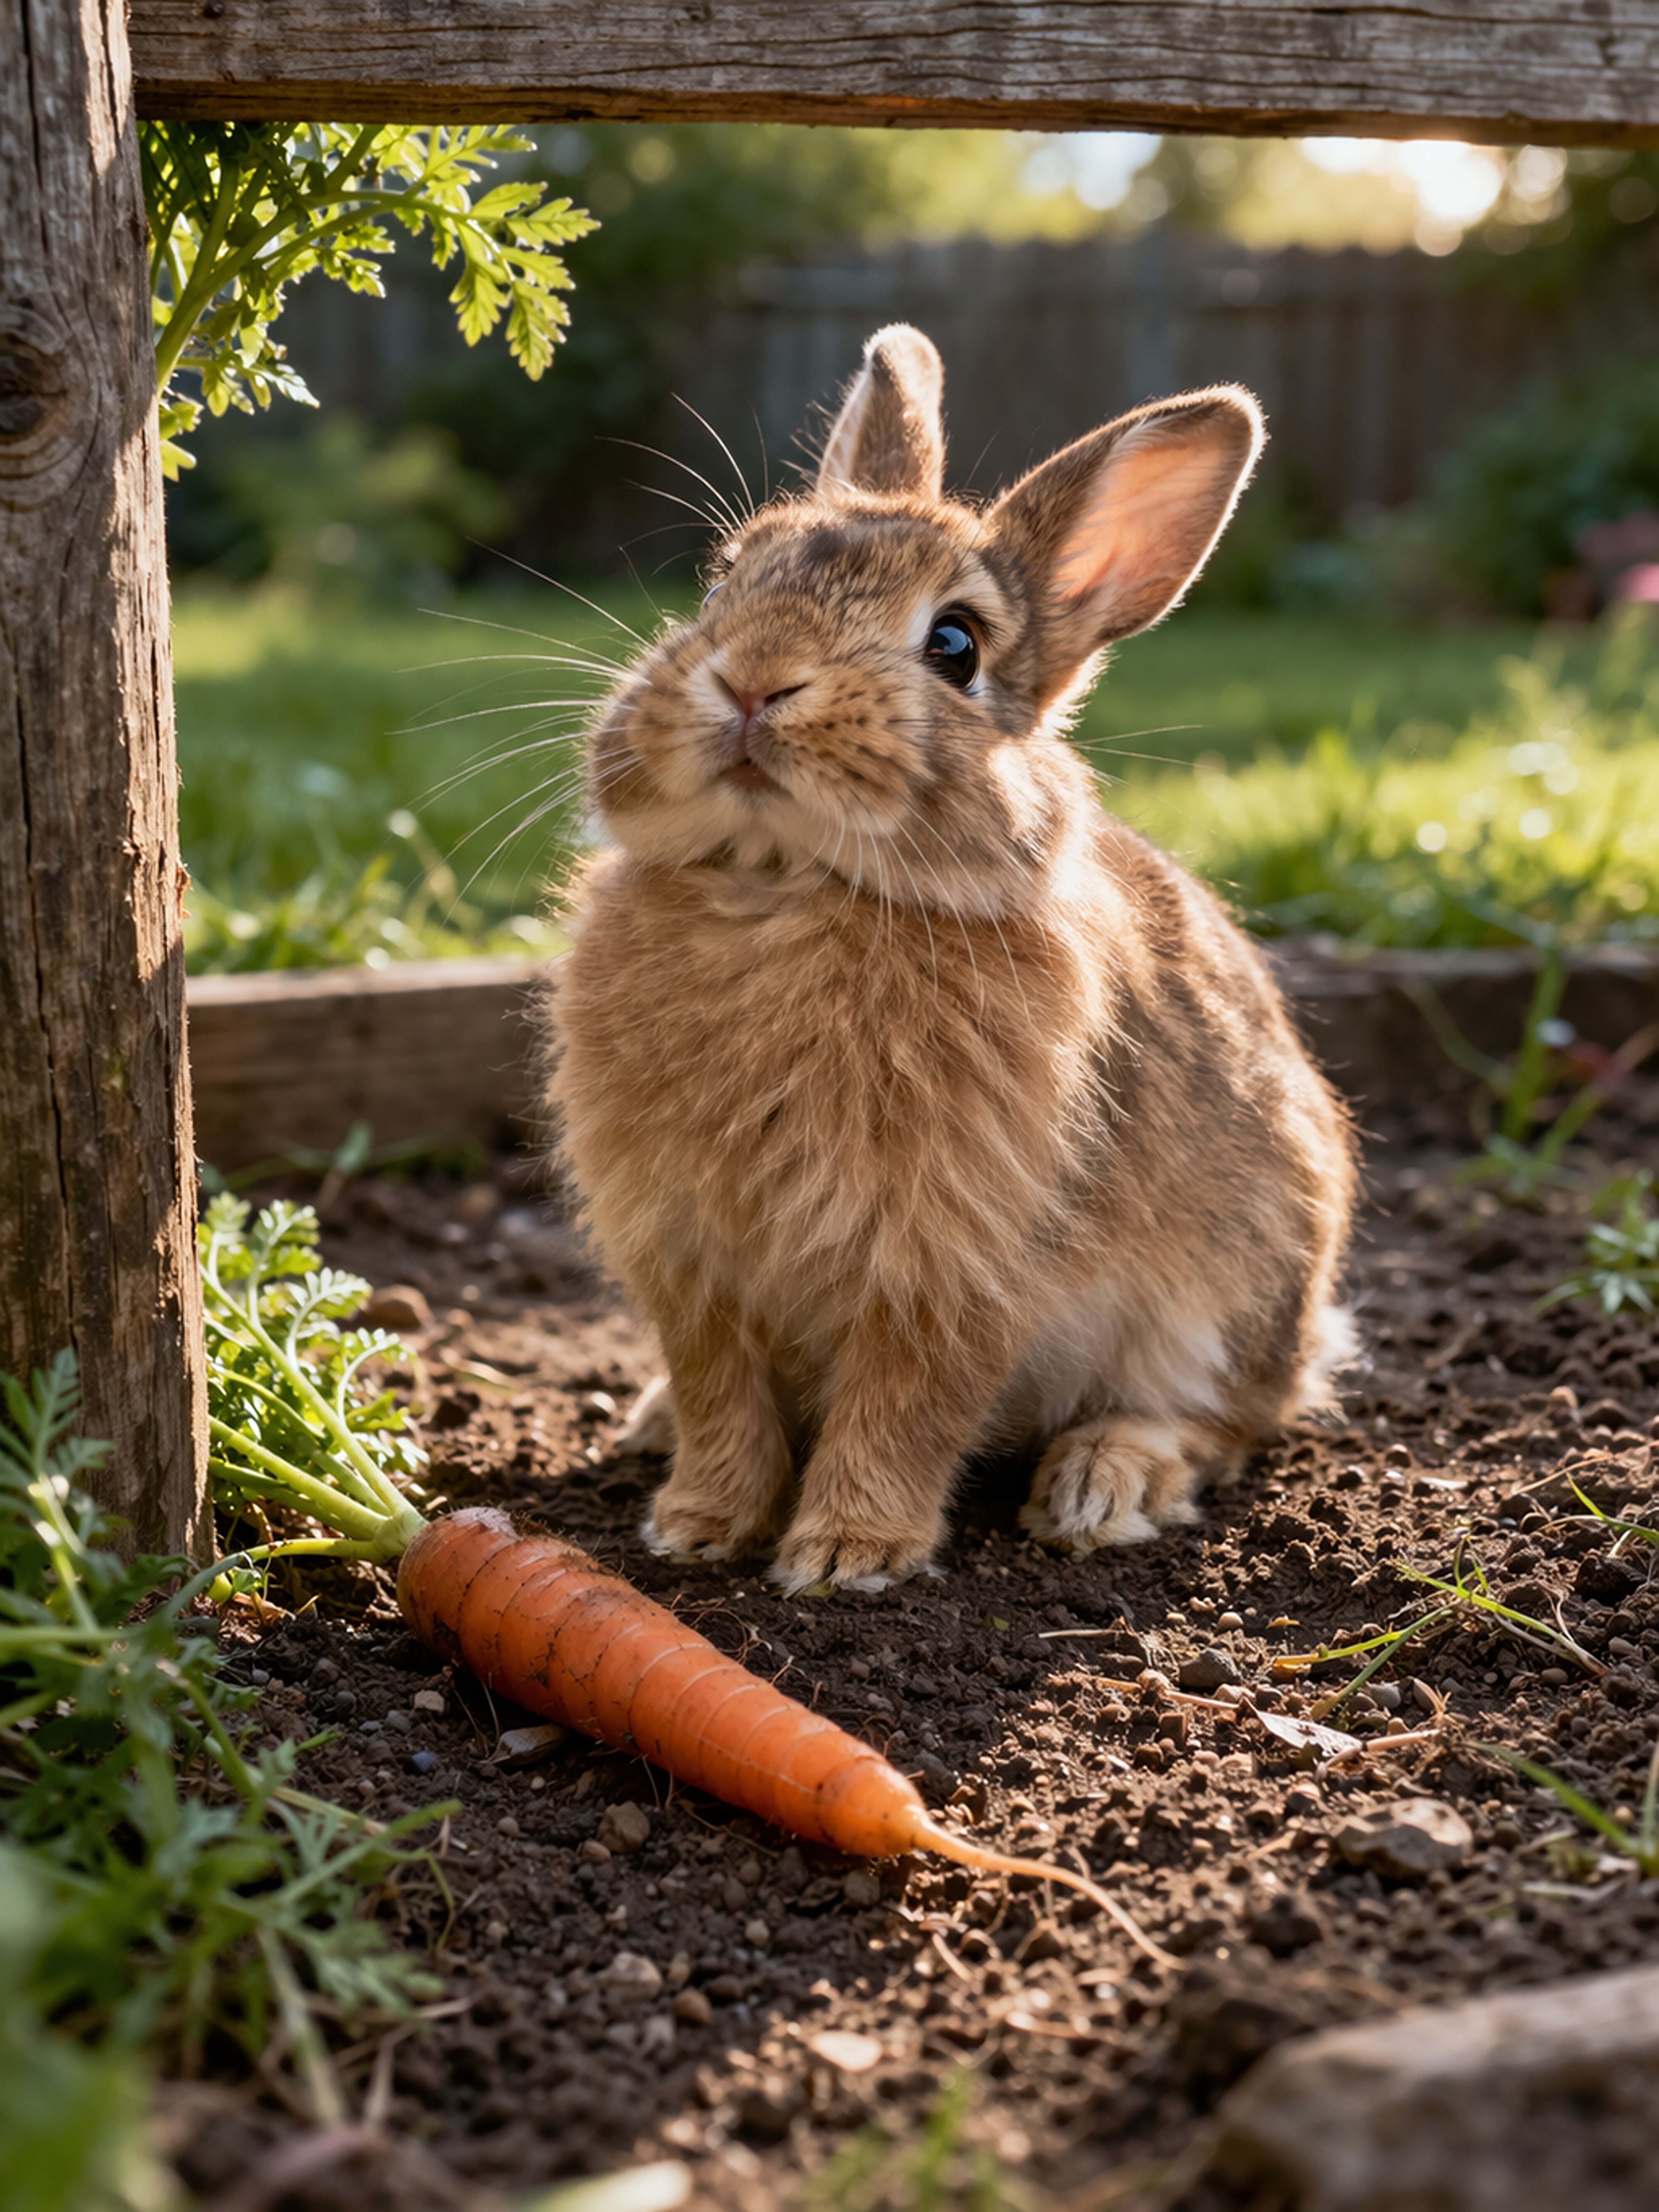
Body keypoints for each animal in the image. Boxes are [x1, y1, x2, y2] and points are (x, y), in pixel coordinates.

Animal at [548, 324, 1356, 1593]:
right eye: (723, 582)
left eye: (955, 646)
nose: (752, 678)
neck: (782, 885)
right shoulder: (690, 1258)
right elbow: (721, 1390)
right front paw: (698, 1523)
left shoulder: (956, 1264)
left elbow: (909, 1402)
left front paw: (846, 1553)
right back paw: (648, 1424)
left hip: (1235, 1292)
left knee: (1224, 1420)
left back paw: (1103, 1484)